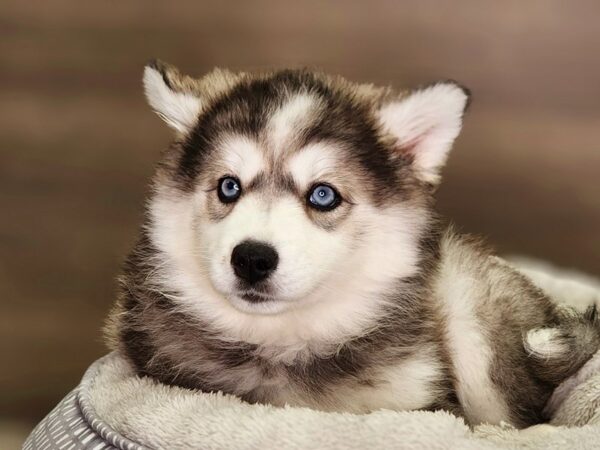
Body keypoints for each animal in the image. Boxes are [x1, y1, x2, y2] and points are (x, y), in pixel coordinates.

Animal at [105, 60, 596, 428]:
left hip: (468, 298)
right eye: (229, 187)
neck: (282, 343)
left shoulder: (419, 397)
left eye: (323, 195)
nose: (251, 258)